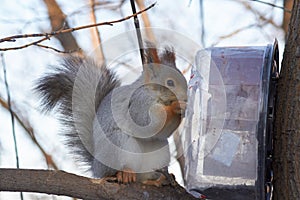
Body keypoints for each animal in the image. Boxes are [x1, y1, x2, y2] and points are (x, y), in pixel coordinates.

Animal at [35, 45, 188, 186]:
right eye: (170, 82)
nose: (186, 98)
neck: (154, 93)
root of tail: (96, 166)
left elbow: (163, 132)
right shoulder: (139, 101)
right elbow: (146, 123)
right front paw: (176, 106)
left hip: (159, 153)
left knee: (145, 177)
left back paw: (157, 180)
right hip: (118, 145)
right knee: (116, 169)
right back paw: (125, 173)